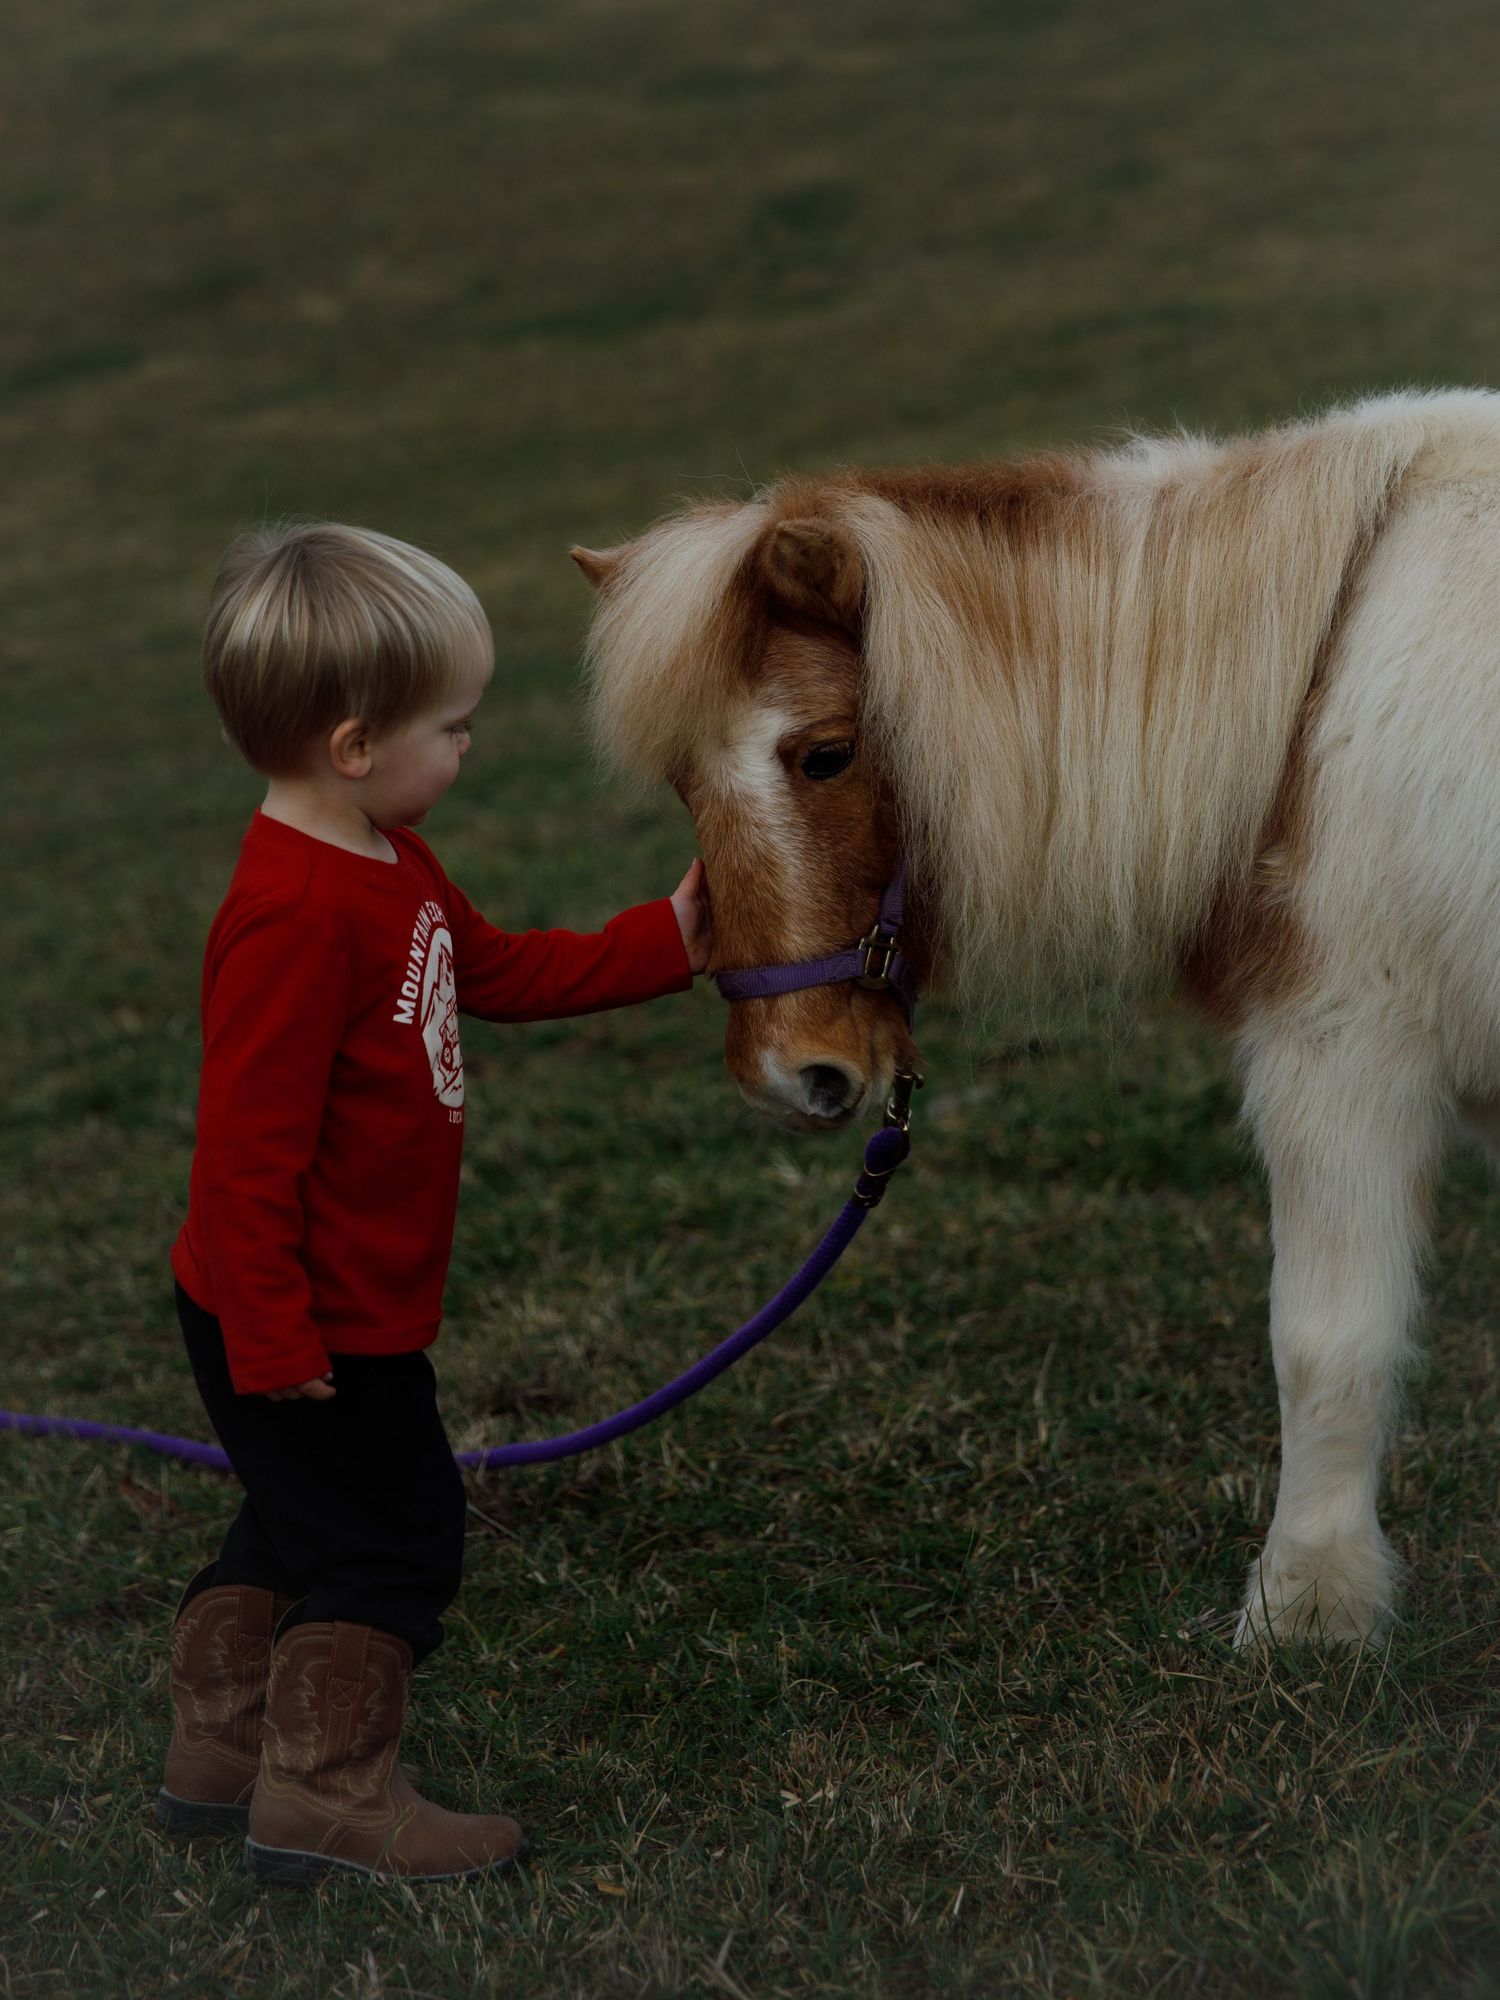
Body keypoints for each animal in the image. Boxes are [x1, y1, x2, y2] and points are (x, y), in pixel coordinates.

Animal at [572, 388, 1500, 1646]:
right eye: (682, 784)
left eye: (826, 754)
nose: (787, 1071)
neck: (1321, 692)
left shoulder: (1344, 1051)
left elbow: (1326, 1343)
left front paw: (1304, 1607)